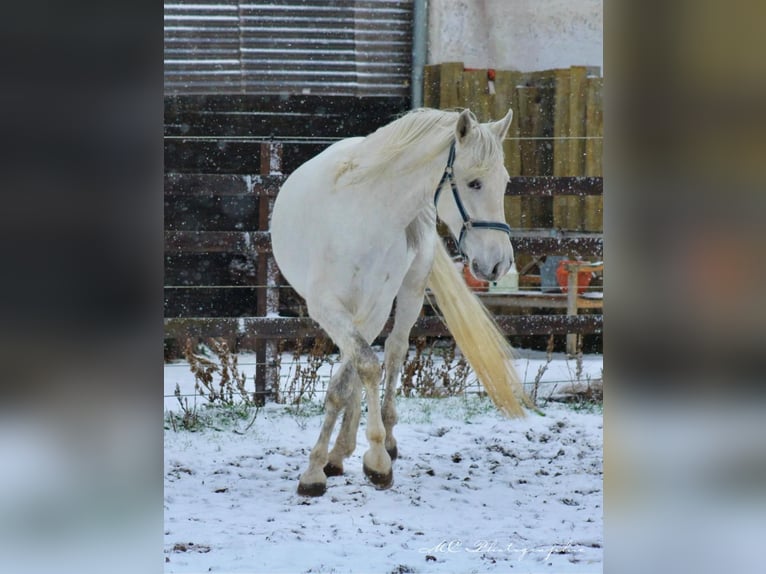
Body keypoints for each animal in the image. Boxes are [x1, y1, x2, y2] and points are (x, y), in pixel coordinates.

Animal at [272, 109, 536, 500]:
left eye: (503, 182)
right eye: (474, 183)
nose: (499, 264)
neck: (364, 216)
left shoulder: (377, 305)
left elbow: (359, 372)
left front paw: (374, 459)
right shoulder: (326, 308)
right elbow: (358, 370)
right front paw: (319, 468)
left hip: (406, 293)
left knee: (395, 350)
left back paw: (372, 444)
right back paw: (340, 453)